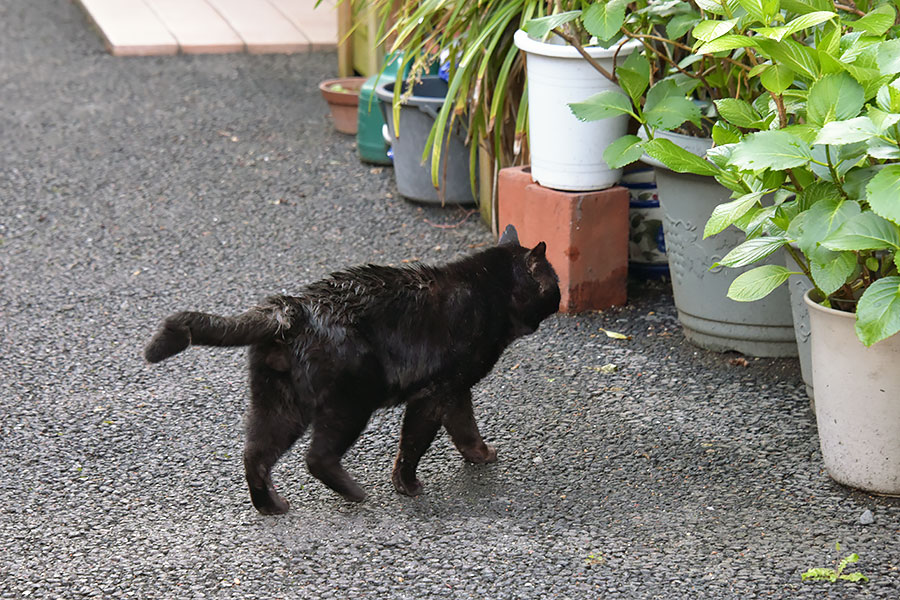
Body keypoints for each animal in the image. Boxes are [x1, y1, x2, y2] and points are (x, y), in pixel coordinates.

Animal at [144, 223, 560, 512]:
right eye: (554, 281)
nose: (561, 297)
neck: (487, 293)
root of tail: (292, 308)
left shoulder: (455, 391)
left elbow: (464, 427)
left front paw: (479, 455)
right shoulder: (437, 391)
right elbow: (416, 442)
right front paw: (407, 485)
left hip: (280, 405)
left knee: (255, 455)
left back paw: (271, 506)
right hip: (351, 403)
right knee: (317, 458)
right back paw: (355, 493)